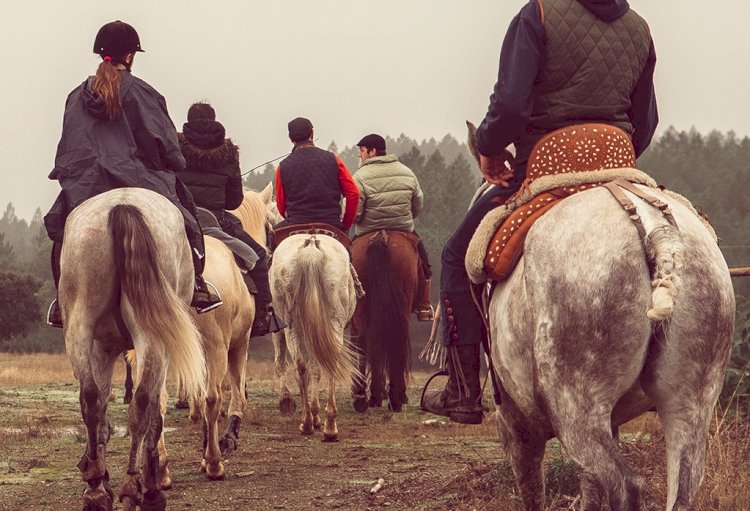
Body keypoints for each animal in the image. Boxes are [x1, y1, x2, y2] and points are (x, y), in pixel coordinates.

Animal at [60, 188, 206, 511]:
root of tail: (122, 205)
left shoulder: (102, 346)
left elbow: (102, 406)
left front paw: (98, 475)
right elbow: (154, 408)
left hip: (80, 326)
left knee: (92, 398)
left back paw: (98, 490)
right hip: (151, 336)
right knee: (140, 401)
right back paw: (138, 486)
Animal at [462, 125, 736, 511]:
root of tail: (658, 233)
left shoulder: (516, 426)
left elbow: (533, 490)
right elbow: (590, 490)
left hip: (578, 407)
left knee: (626, 486)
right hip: (690, 405)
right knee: (681, 489)